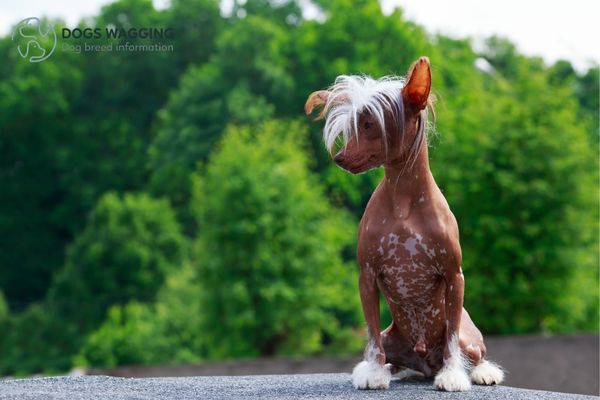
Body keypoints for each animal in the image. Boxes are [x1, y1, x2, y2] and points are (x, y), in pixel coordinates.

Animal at [308, 57, 504, 392]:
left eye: (370, 124)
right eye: (352, 124)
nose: (340, 158)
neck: (403, 203)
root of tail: (424, 362)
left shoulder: (455, 276)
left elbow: (452, 339)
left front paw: (452, 375)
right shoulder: (367, 275)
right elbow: (372, 336)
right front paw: (374, 372)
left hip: (469, 337)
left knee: (472, 351)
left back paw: (480, 372)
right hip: (394, 338)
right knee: (391, 352)